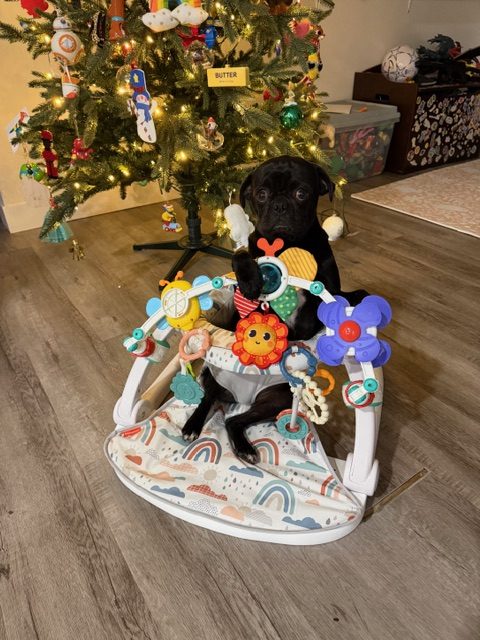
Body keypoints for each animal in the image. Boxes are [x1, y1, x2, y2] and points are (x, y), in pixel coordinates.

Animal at [182, 156, 367, 463]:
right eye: (261, 194)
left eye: (302, 193)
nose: (280, 205)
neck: (289, 248)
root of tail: (239, 399)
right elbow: (242, 254)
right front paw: (251, 279)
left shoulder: (326, 292)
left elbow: (324, 302)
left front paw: (351, 295)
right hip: (217, 378)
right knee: (209, 397)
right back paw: (193, 425)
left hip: (277, 398)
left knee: (234, 420)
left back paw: (244, 447)